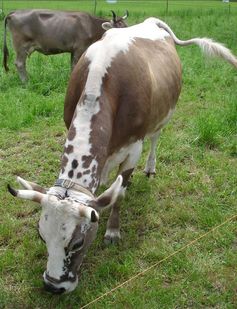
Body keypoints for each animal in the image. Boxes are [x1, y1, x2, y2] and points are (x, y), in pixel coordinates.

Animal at [7, 18, 237, 292]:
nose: (53, 286)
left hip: (164, 116)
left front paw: (113, 232)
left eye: (77, 242)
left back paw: (149, 167)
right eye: (41, 236)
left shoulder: (134, 147)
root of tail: (152, 21)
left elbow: (118, 195)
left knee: (155, 139)